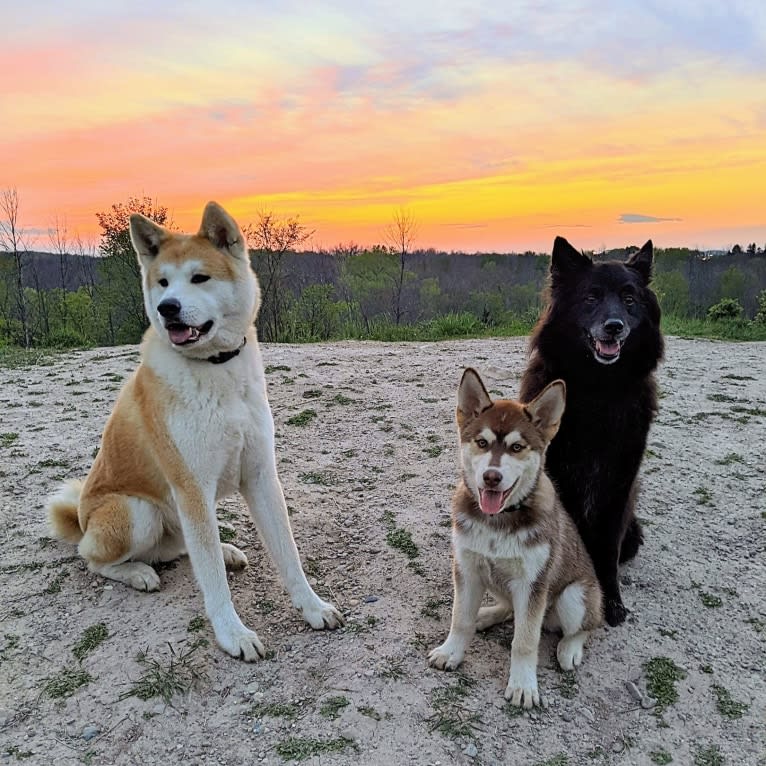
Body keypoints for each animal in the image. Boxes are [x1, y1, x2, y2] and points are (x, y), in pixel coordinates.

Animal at [46, 202, 344, 660]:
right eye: (163, 282)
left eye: (199, 278)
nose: (168, 307)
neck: (216, 368)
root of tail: (81, 519)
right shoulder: (192, 489)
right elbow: (213, 581)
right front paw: (233, 634)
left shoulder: (260, 477)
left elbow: (288, 555)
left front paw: (312, 607)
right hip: (138, 512)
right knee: (94, 558)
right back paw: (138, 572)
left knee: (184, 547)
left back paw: (224, 550)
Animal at [428, 370, 604, 708]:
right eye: (482, 443)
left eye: (517, 447)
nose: (491, 477)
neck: (497, 521)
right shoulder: (467, 568)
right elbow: (460, 619)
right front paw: (451, 651)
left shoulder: (532, 584)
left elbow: (524, 640)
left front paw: (523, 685)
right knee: (508, 608)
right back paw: (485, 615)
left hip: (574, 595)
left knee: (587, 625)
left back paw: (570, 648)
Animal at [520, 237, 664, 628]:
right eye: (591, 297)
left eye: (629, 298)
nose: (614, 326)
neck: (599, 388)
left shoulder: (619, 484)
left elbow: (606, 550)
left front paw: (611, 600)